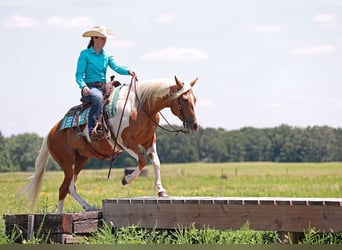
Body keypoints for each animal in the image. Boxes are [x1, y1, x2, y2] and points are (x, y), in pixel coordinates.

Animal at [20, 75, 199, 213]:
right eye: (184, 100)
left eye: (195, 100)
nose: (195, 125)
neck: (140, 107)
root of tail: (50, 132)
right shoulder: (124, 141)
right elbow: (142, 160)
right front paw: (126, 179)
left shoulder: (149, 140)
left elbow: (156, 162)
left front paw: (161, 191)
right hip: (67, 162)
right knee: (65, 187)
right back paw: (62, 214)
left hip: (80, 159)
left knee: (68, 187)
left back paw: (87, 207)